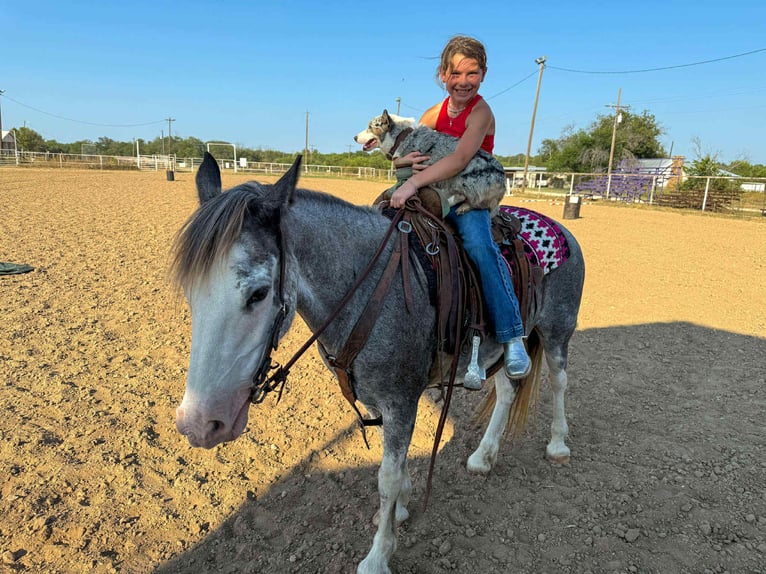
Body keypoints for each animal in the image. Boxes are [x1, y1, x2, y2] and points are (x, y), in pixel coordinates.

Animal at [170, 153, 584, 574]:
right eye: (189, 291)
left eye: (258, 293)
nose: (199, 425)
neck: (368, 290)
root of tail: (560, 227)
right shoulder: (376, 399)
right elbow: (396, 470)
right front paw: (400, 510)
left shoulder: (401, 401)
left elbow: (387, 476)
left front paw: (378, 555)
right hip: (496, 351)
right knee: (506, 391)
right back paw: (483, 457)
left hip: (557, 330)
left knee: (559, 382)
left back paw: (557, 445)